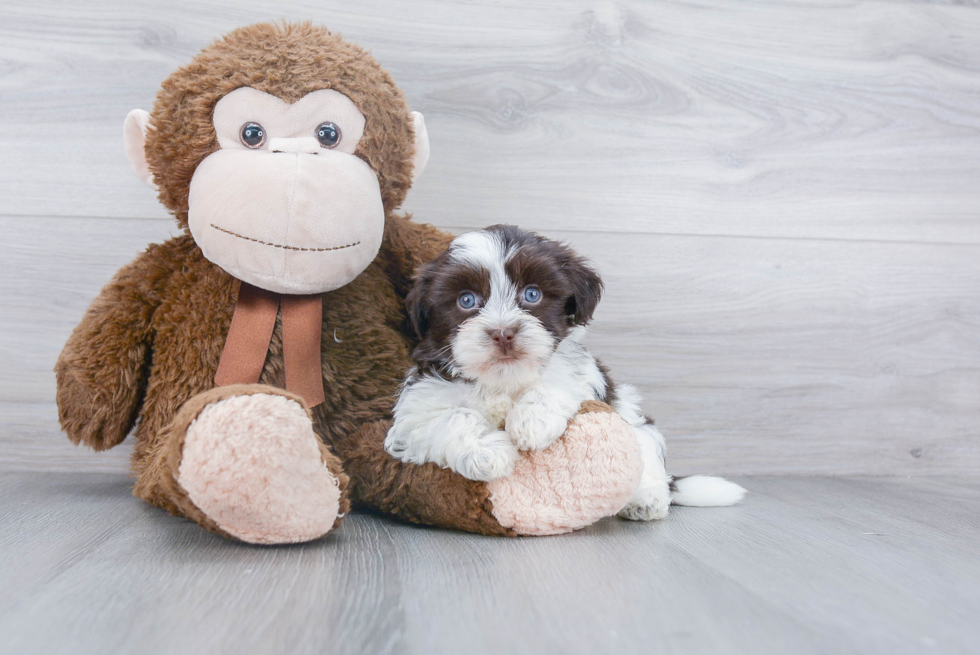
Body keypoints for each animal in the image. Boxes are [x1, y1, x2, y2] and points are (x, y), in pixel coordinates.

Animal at [382, 226, 744, 524]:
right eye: (467, 300)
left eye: (532, 294)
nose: (503, 333)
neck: (504, 379)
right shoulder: (419, 404)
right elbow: (451, 416)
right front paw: (487, 452)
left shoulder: (583, 373)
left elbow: (558, 378)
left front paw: (532, 421)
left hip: (635, 421)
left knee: (647, 457)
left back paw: (645, 499)